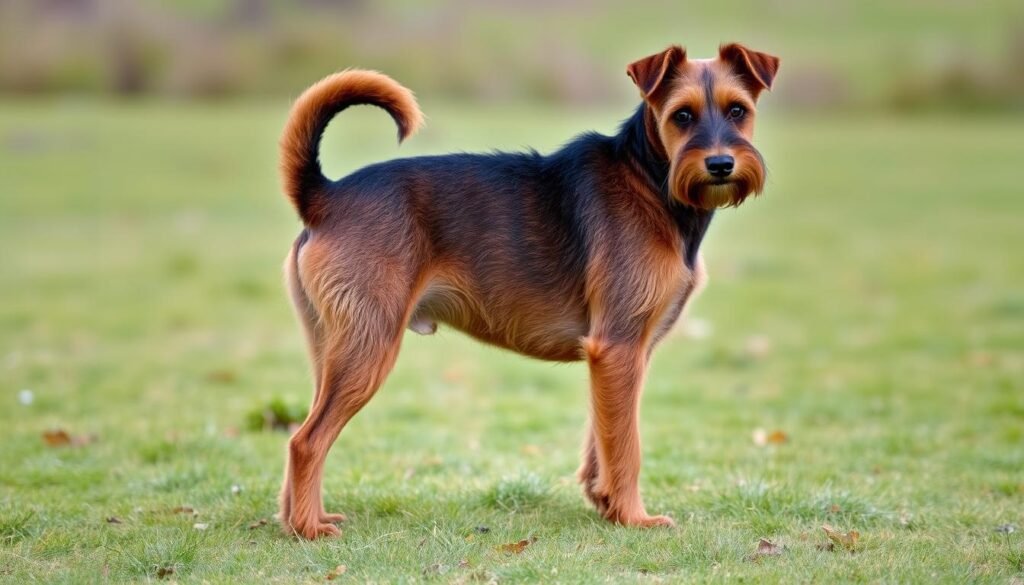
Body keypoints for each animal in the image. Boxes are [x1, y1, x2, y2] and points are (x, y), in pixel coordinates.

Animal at [276, 44, 778, 540]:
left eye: (738, 110)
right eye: (682, 116)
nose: (720, 164)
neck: (648, 179)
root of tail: (324, 196)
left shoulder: (618, 356)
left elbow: (602, 439)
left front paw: (606, 504)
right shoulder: (618, 348)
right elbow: (626, 446)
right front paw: (634, 518)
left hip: (334, 349)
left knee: (302, 435)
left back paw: (297, 518)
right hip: (369, 347)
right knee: (307, 440)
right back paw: (308, 527)